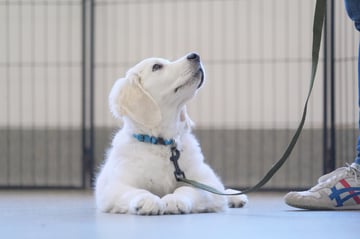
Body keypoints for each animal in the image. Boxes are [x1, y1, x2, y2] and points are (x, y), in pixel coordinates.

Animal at [95, 52, 248, 215]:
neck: (162, 142)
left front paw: (175, 200)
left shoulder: (206, 181)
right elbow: (134, 191)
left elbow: (187, 188)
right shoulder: (113, 187)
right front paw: (147, 200)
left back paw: (234, 196)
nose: (195, 55)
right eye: (156, 66)